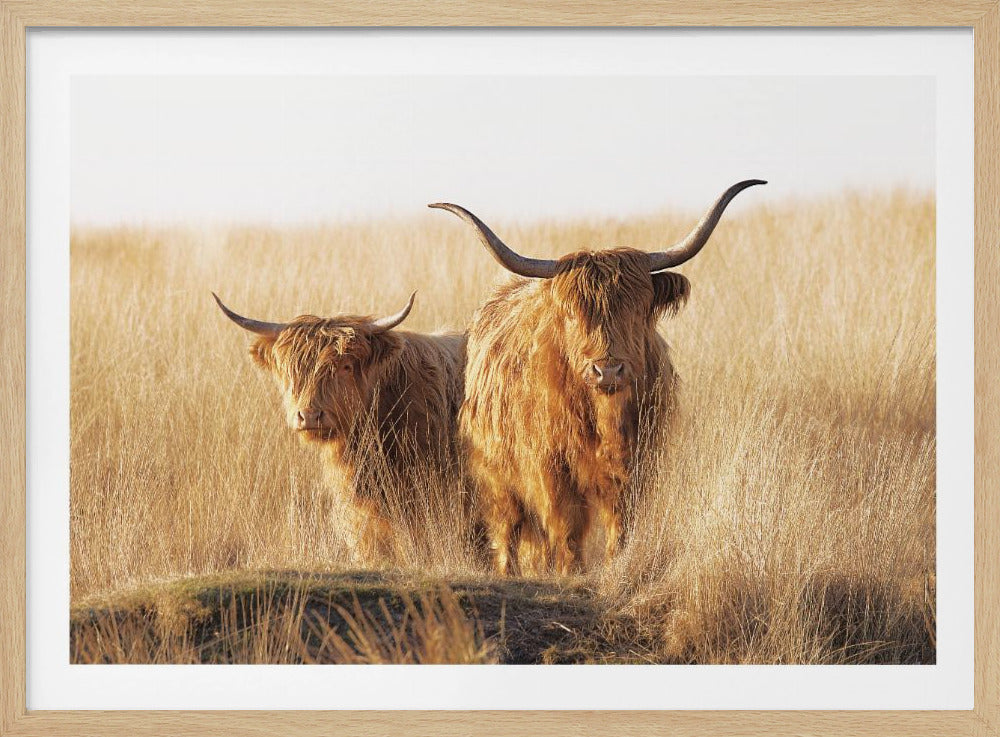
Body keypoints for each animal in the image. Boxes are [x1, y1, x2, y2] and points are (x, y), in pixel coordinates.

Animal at [430, 180, 765, 575]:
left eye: (637, 310)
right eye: (573, 314)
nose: (608, 369)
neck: (605, 417)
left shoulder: (637, 464)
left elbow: (620, 521)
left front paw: (614, 564)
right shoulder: (550, 467)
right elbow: (565, 524)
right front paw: (571, 571)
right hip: (496, 474)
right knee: (507, 528)